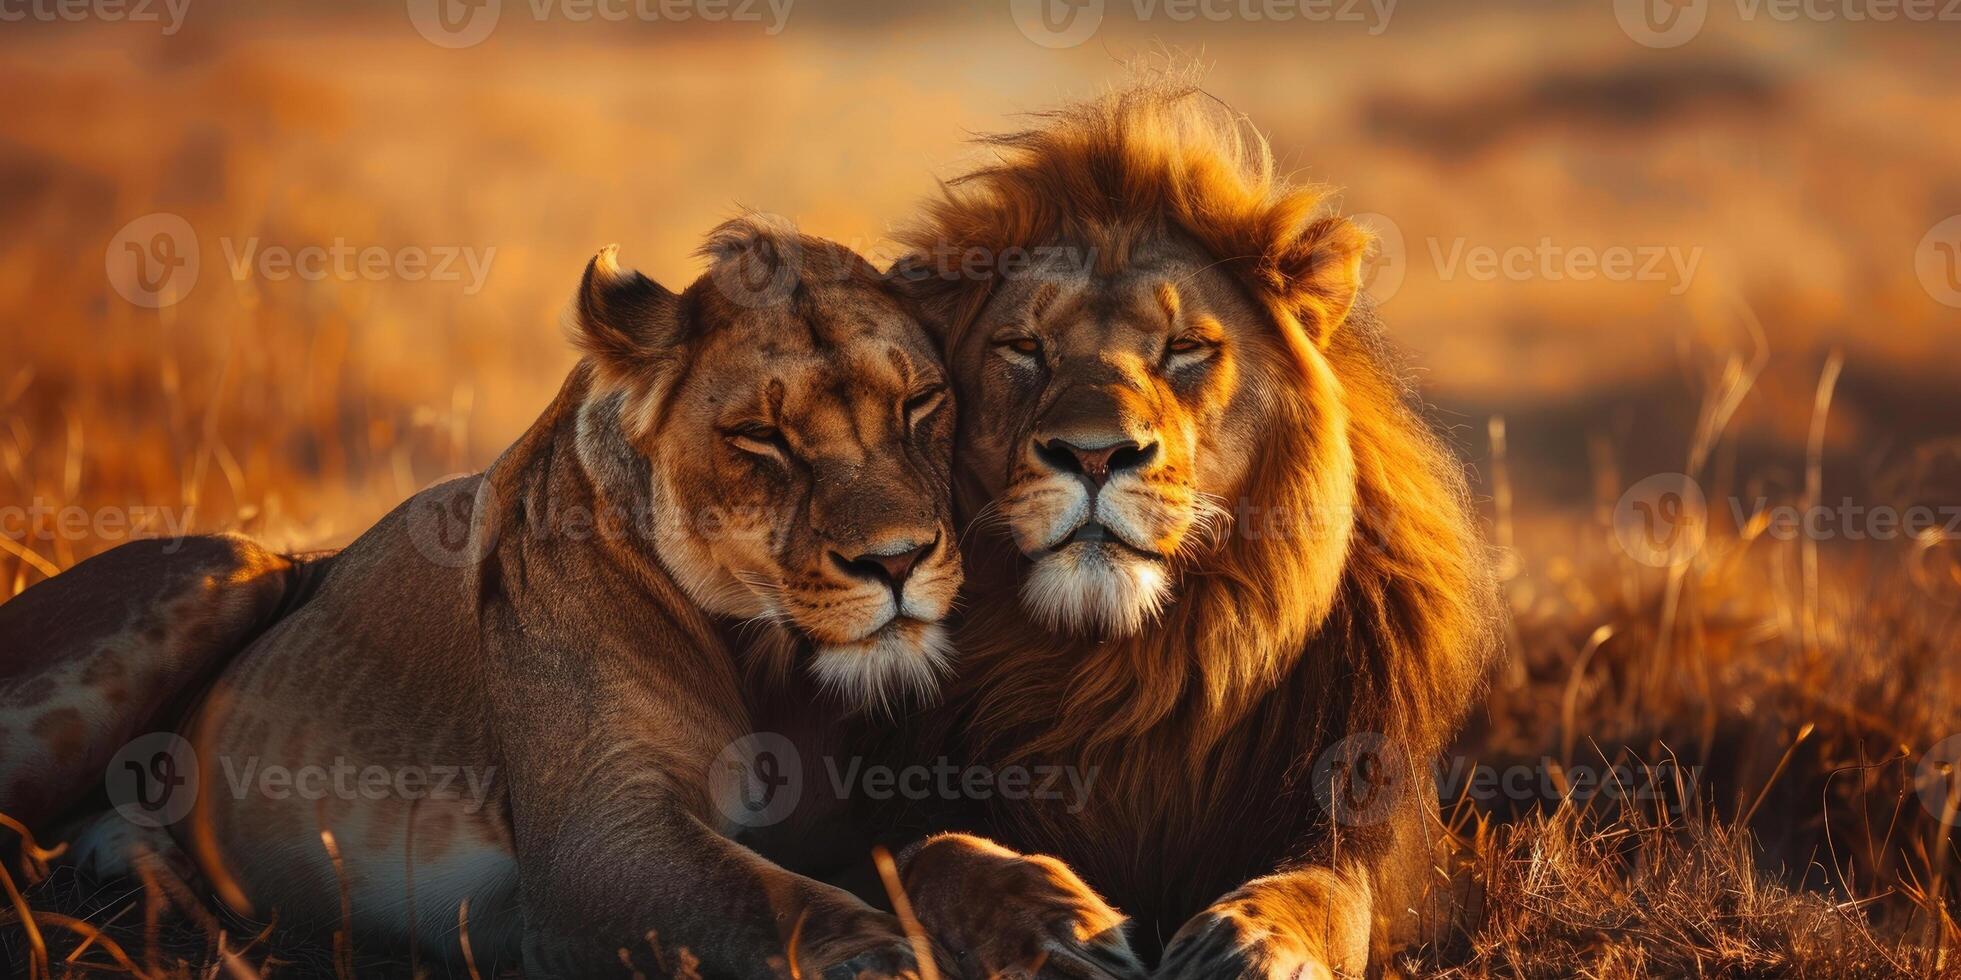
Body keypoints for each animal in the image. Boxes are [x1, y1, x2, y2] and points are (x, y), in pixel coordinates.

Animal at [0, 218, 964, 976]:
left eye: (920, 401)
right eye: (760, 437)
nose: (897, 561)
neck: (769, 665)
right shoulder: (596, 842)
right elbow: (778, 906)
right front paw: (893, 957)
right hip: (228, 569)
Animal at [882, 86, 1490, 980]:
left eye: (1185, 348)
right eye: (1024, 347)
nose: (1093, 454)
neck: (1124, 665)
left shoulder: (1377, 836)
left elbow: (1329, 890)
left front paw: (1250, 941)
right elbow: (937, 853)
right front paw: (1059, 926)